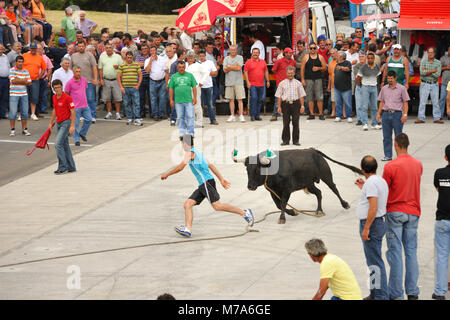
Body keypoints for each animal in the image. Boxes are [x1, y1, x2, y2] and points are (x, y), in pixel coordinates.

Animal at [234, 149, 364, 224]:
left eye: (257, 169)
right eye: (247, 170)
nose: (250, 186)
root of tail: (313, 150)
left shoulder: (287, 189)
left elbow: (282, 203)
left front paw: (282, 218)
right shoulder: (272, 191)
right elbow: (278, 205)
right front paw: (292, 212)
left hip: (326, 176)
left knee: (334, 189)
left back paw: (345, 204)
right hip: (309, 184)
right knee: (319, 193)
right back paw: (318, 210)